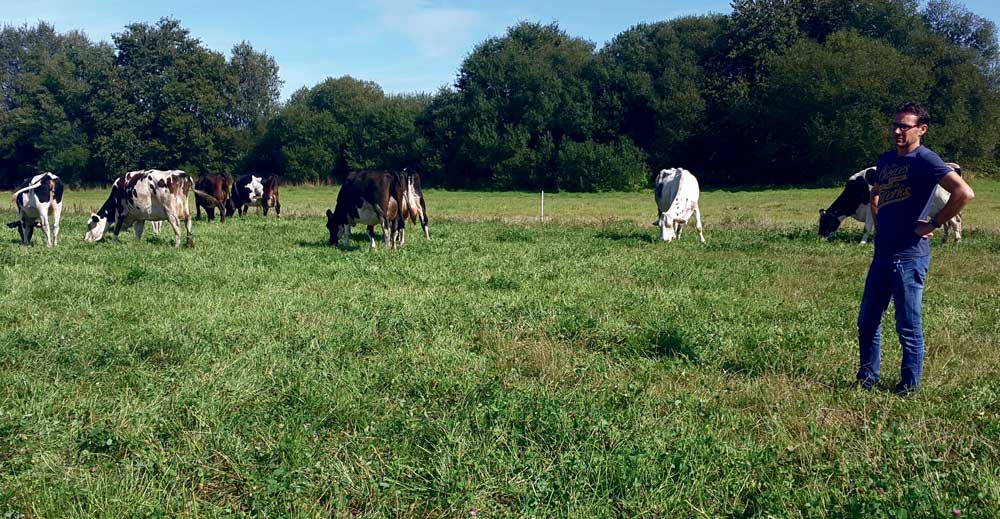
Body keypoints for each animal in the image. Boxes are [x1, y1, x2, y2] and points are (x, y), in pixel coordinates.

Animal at [816, 162, 964, 244]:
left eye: (824, 222)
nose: (820, 236)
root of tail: (952, 167)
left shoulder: (869, 208)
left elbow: (867, 227)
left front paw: (862, 242)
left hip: (943, 202)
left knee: (955, 221)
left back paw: (956, 241)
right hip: (937, 208)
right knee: (947, 222)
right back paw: (945, 241)